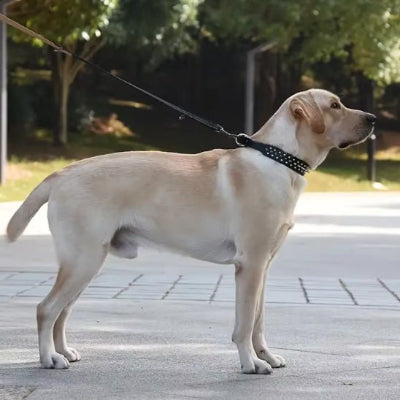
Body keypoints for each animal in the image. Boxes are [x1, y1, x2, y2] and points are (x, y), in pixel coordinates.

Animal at [6, 89, 376, 374]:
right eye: (335, 105)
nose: (373, 118)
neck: (279, 159)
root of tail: (61, 173)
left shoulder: (264, 267)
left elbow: (259, 321)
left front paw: (266, 356)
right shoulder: (250, 264)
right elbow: (244, 324)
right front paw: (251, 363)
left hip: (86, 264)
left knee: (61, 312)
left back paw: (64, 352)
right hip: (83, 260)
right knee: (46, 309)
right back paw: (49, 359)